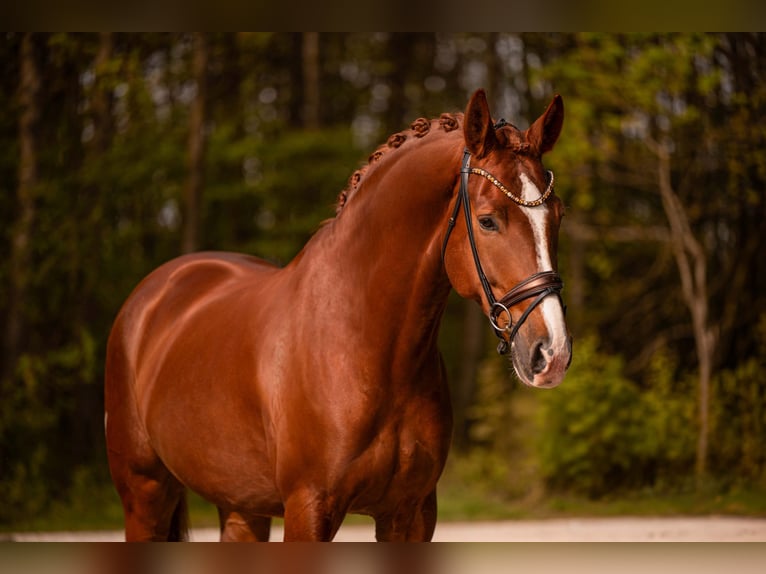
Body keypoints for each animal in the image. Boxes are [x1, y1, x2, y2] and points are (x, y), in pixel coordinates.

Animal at [104, 89, 571, 541]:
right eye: (488, 221)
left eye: (558, 215)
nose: (552, 353)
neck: (366, 345)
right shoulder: (309, 507)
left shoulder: (411, 513)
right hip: (144, 494)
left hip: (241, 506)